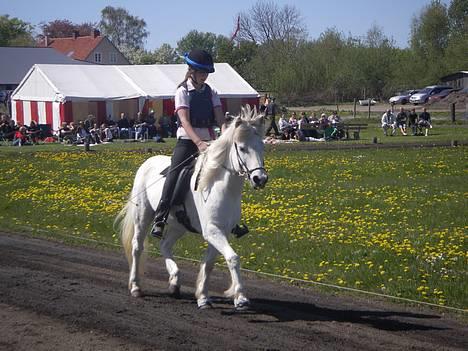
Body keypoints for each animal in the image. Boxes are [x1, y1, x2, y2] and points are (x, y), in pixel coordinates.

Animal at [116, 106, 268, 310]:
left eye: (262, 147)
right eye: (242, 148)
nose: (260, 179)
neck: (221, 187)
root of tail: (147, 163)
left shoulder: (221, 231)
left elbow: (209, 263)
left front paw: (203, 296)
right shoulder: (212, 230)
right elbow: (233, 258)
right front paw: (241, 298)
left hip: (178, 225)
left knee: (165, 244)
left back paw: (174, 281)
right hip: (143, 216)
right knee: (137, 247)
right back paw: (136, 287)